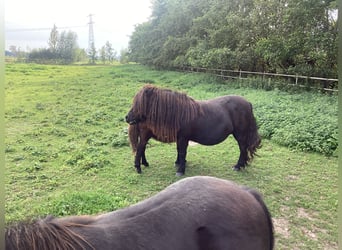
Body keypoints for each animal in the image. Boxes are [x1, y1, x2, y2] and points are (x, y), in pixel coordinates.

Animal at [125, 84, 262, 176]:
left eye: (139, 104)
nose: (127, 117)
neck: (179, 112)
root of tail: (247, 103)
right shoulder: (180, 138)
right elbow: (180, 151)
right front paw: (180, 164)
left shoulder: (183, 138)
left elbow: (182, 152)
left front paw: (180, 170)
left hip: (240, 134)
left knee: (243, 148)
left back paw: (238, 166)